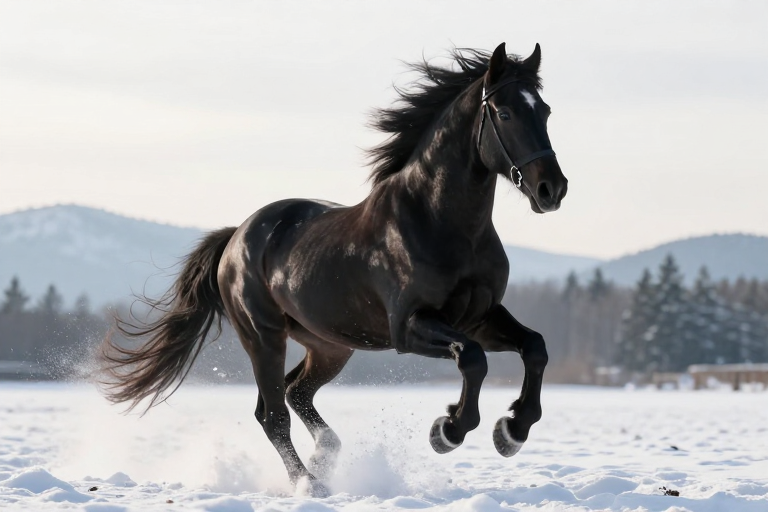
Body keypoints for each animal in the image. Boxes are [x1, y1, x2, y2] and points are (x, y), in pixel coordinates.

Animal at [102, 42, 568, 496]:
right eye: (504, 113)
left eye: (544, 110)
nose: (552, 189)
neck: (438, 222)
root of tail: (236, 238)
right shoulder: (410, 327)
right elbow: (472, 359)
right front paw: (448, 430)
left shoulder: (479, 317)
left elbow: (535, 347)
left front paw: (512, 431)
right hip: (263, 336)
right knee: (272, 415)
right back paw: (309, 483)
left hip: (330, 345)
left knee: (295, 393)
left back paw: (325, 459)